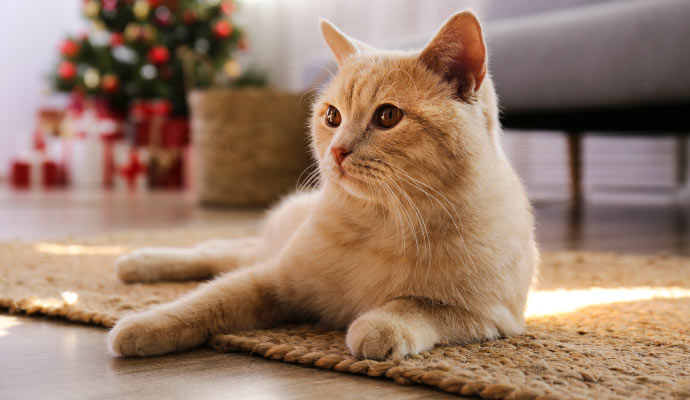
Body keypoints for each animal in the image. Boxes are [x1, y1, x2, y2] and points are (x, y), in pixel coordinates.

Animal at [109, 10, 536, 360]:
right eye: (332, 116)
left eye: (387, 116)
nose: (337, 150)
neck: (381, 223)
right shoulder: (274, 280)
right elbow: (209, 299)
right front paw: (145, 324)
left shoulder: (490, 317)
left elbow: (419, 306)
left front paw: (380, 326)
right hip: (268, 253)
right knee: (219, 253)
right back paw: (138, 262)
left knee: (227, 252)